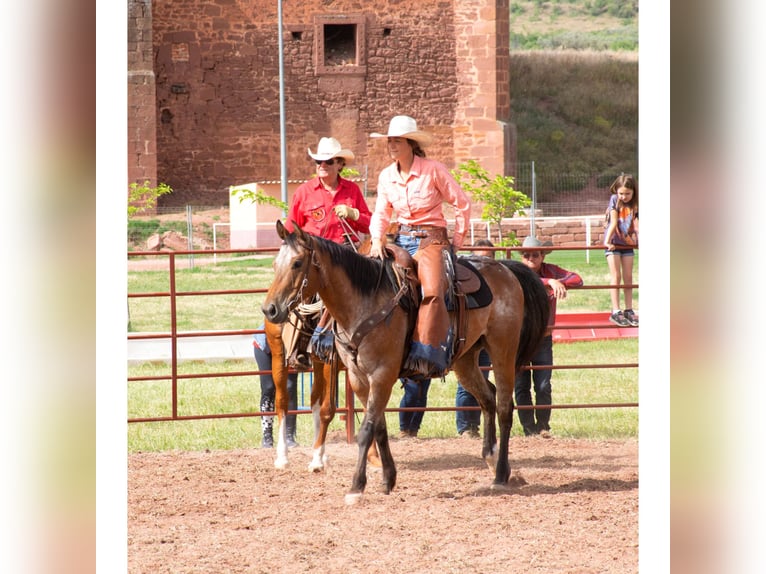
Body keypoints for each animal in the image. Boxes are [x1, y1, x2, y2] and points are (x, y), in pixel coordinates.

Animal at [260, 223, 548, 506]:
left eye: (297, 263)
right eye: (275, 263)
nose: (270, 309)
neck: (365, 302)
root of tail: (505, 268)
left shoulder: (382, 375)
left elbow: (366, 429)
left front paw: (356, 487)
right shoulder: (358, 378)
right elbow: (378, 427)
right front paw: (388, 478)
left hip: (503, 349)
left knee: (504, 407)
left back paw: (500, 474)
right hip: (465, 360)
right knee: (487, 398)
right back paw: (492, 458)